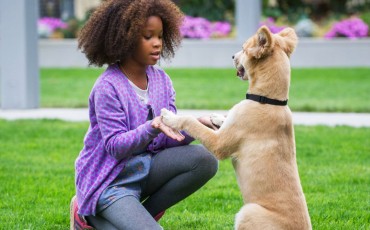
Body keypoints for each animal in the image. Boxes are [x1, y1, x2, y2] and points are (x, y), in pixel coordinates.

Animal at [162, 25, 312, 230]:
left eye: (243, 49)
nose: (232, 56)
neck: (268, 100)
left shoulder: (219, 144)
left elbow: (192, 122)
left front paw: (171, 117)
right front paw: (217, 117)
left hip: (247, 212)